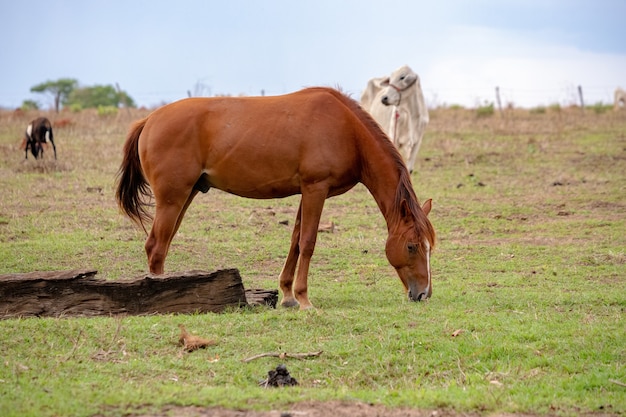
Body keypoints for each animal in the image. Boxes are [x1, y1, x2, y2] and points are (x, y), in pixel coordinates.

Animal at [114, 87, 432, 308]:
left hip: (185, 195)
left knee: (161, 246)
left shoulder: (308, 191)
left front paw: (288, 295)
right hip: (172, 199)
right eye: (412, 246)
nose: (424, 294)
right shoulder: (316, 189)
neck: (347, 129)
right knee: (156, 247)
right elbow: (308, 243)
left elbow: (295, 241)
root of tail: (150, 119)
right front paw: (304, 299)